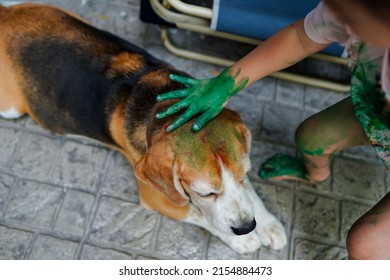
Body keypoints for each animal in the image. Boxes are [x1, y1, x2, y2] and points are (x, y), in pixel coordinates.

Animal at [0, 2, 286, 254]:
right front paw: (243, 240)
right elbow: (198, 214)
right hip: (10, 109)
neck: (163, 101)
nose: (246, 227)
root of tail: (6, 16)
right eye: (204, 193)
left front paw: (269, 224)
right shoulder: (158, 198)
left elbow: (252, 195)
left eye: (245, 175)